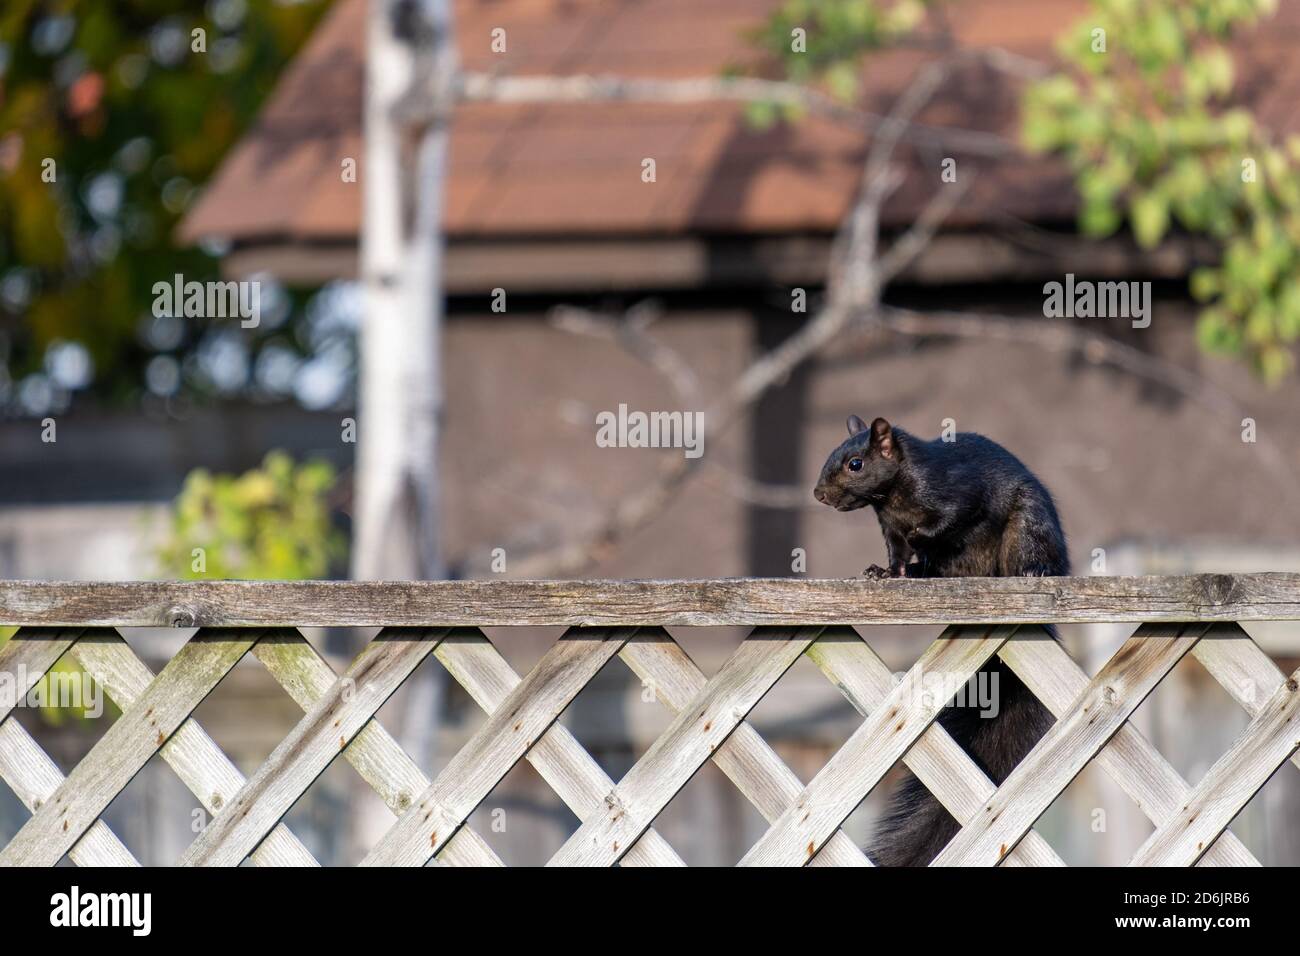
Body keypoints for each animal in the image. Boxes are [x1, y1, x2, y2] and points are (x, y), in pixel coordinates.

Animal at [811, 416, 1066, 863]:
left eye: (856, 464)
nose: (819, 494)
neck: (893, 497)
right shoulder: (889, 528)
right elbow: (896, 554)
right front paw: (886, 572)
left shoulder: (955, 490)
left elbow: (948, 519)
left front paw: (920, 538)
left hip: (1027, 527)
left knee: (1030, 552)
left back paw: (1035, 571)